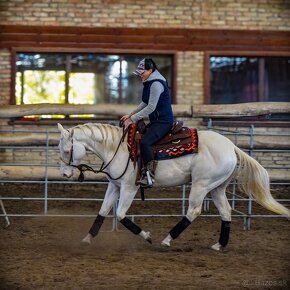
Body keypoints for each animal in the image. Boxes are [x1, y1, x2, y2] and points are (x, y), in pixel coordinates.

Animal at [57, 121, 290, 250]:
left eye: (67, 150)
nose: (65, 174)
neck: (118, 148)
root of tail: (232, 146)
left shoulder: (129, 188)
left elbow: (121, 215)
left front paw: (147, 236)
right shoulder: (114, 186)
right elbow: (103, 211)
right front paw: (87, 239)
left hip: (201, 185)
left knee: (193, 211)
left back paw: (167, 240)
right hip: (216, 187)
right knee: (225, 211)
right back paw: (219, 245)